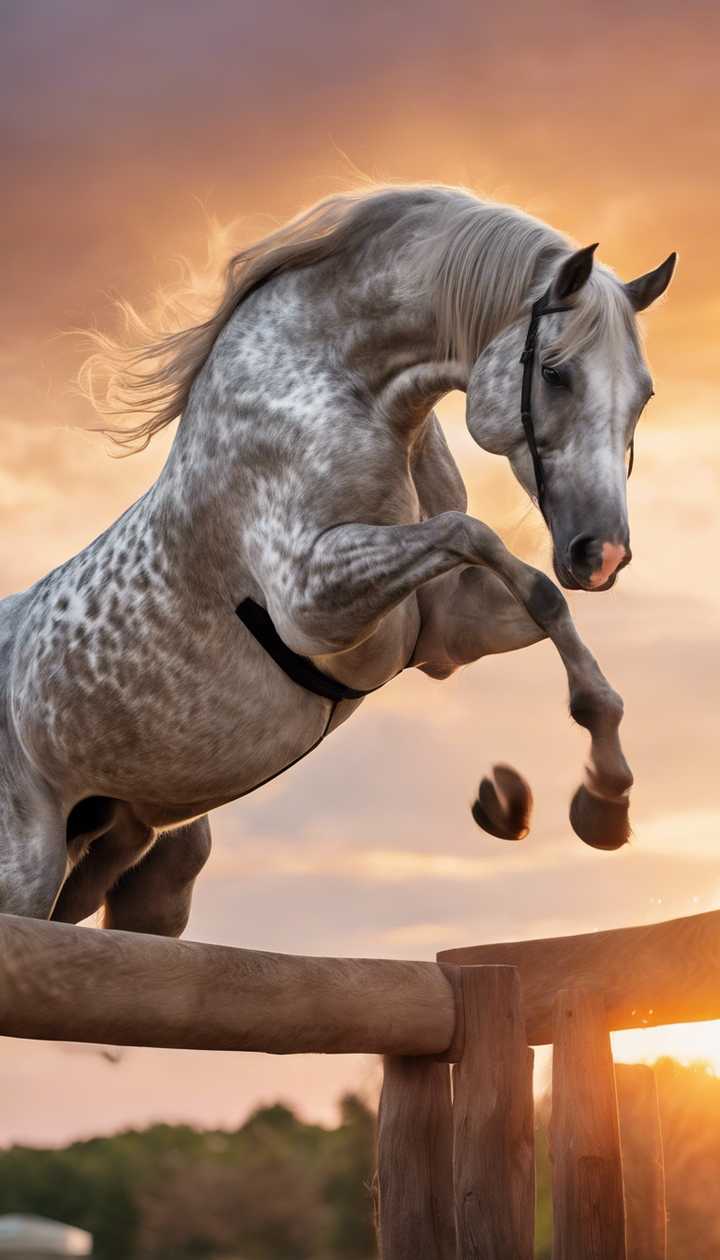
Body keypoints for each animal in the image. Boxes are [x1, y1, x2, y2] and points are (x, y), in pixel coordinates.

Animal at [0, 185, 676, 935]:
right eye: (556, 374)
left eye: (644, 394)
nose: (602, 554)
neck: (344, 388)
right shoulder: (313, 604)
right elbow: (473, 534)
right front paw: (566, 802)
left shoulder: (446, 629)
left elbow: (541, 595)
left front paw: (602, 799)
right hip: (28, 871)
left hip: (141, 858)